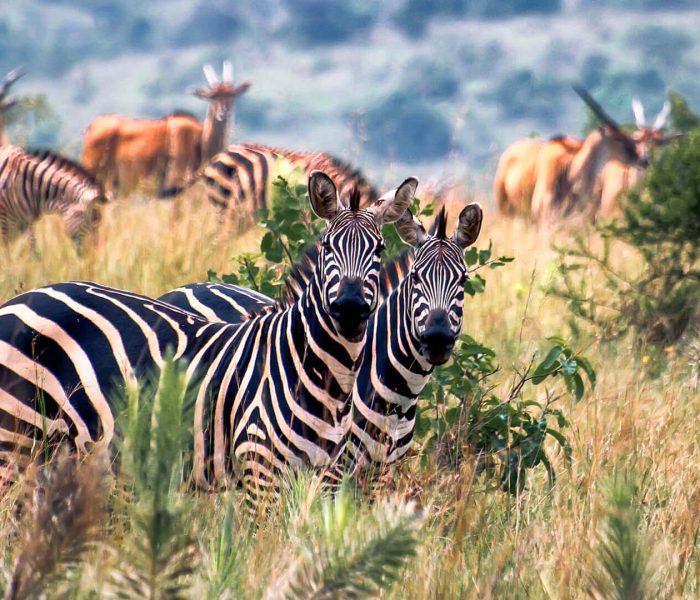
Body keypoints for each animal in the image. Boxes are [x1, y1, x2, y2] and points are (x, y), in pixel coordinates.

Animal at [81, 61, 251, 197]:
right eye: (212, 96)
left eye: (232, 95)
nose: (224, 113)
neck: (200, 139)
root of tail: (93, 125)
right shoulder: (176, 181)